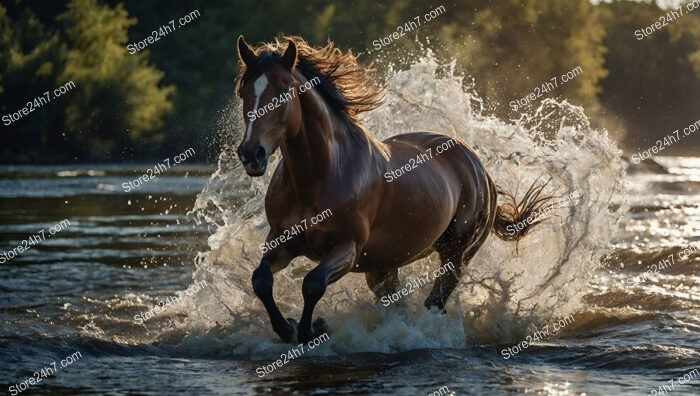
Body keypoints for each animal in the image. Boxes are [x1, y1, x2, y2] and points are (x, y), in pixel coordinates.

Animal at [235, 35, 552, 342]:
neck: (317, 178)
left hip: (456, 254)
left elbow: (312, 284)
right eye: (244, 93)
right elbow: (260, 280)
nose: (251, 154)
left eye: (283, 90)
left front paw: (312, 329)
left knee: (435, 302)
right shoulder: (281, 241)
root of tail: (481, 170)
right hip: (384, 265)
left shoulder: (347, 248)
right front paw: (287, 328)